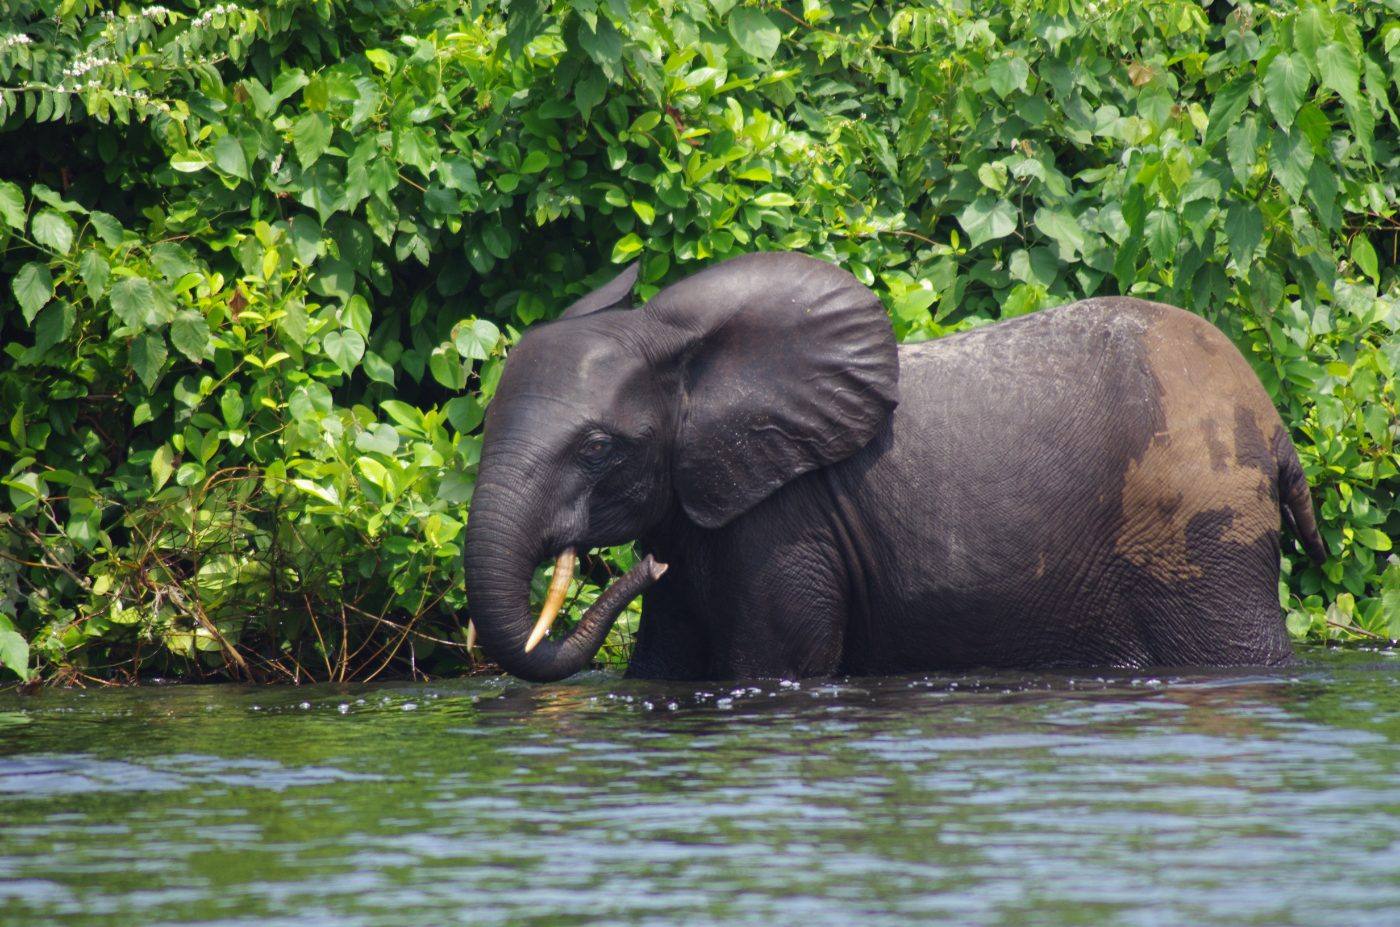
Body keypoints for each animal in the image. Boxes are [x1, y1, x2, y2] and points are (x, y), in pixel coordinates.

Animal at [462, 252, 1326, 682]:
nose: (638, 567)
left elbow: (773, 665)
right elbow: (661, 667)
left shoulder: (788, 525)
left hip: (1198, 528)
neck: (683, 353)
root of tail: (1273, 421)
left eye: (597, 448)